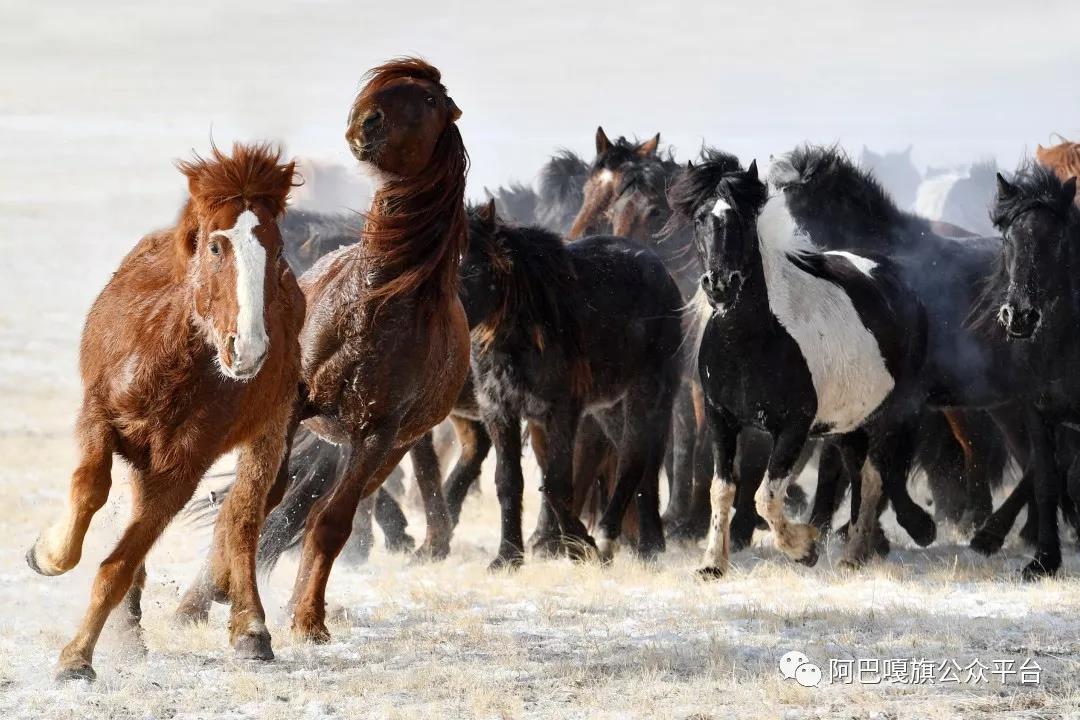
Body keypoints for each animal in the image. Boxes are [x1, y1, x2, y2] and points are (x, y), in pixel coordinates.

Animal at [26, 142, 304, 682]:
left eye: (277, 250)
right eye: (215, 247)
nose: (249, 350)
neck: (166, 360)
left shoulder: (183, 467)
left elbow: (118, 563)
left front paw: (77, 657)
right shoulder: (97, 418)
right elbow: (90, 488)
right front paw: (47, 555)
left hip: (268, 430)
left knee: (243, 516)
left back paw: (251, 629)